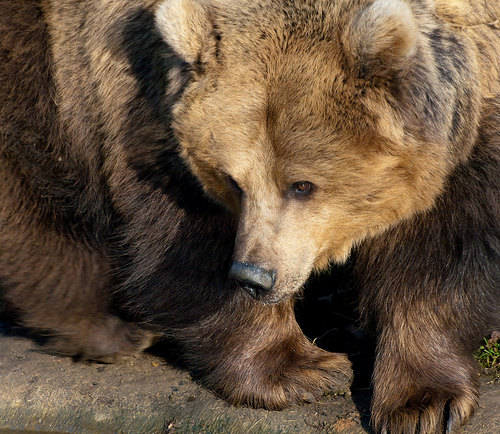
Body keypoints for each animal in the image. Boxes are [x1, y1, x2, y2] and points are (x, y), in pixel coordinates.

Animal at [158, 0, 500, 430]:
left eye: (302, 185)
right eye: (232, 180)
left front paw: (424, 404)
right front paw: (304, 369)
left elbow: (443, 250)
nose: (253, 275)